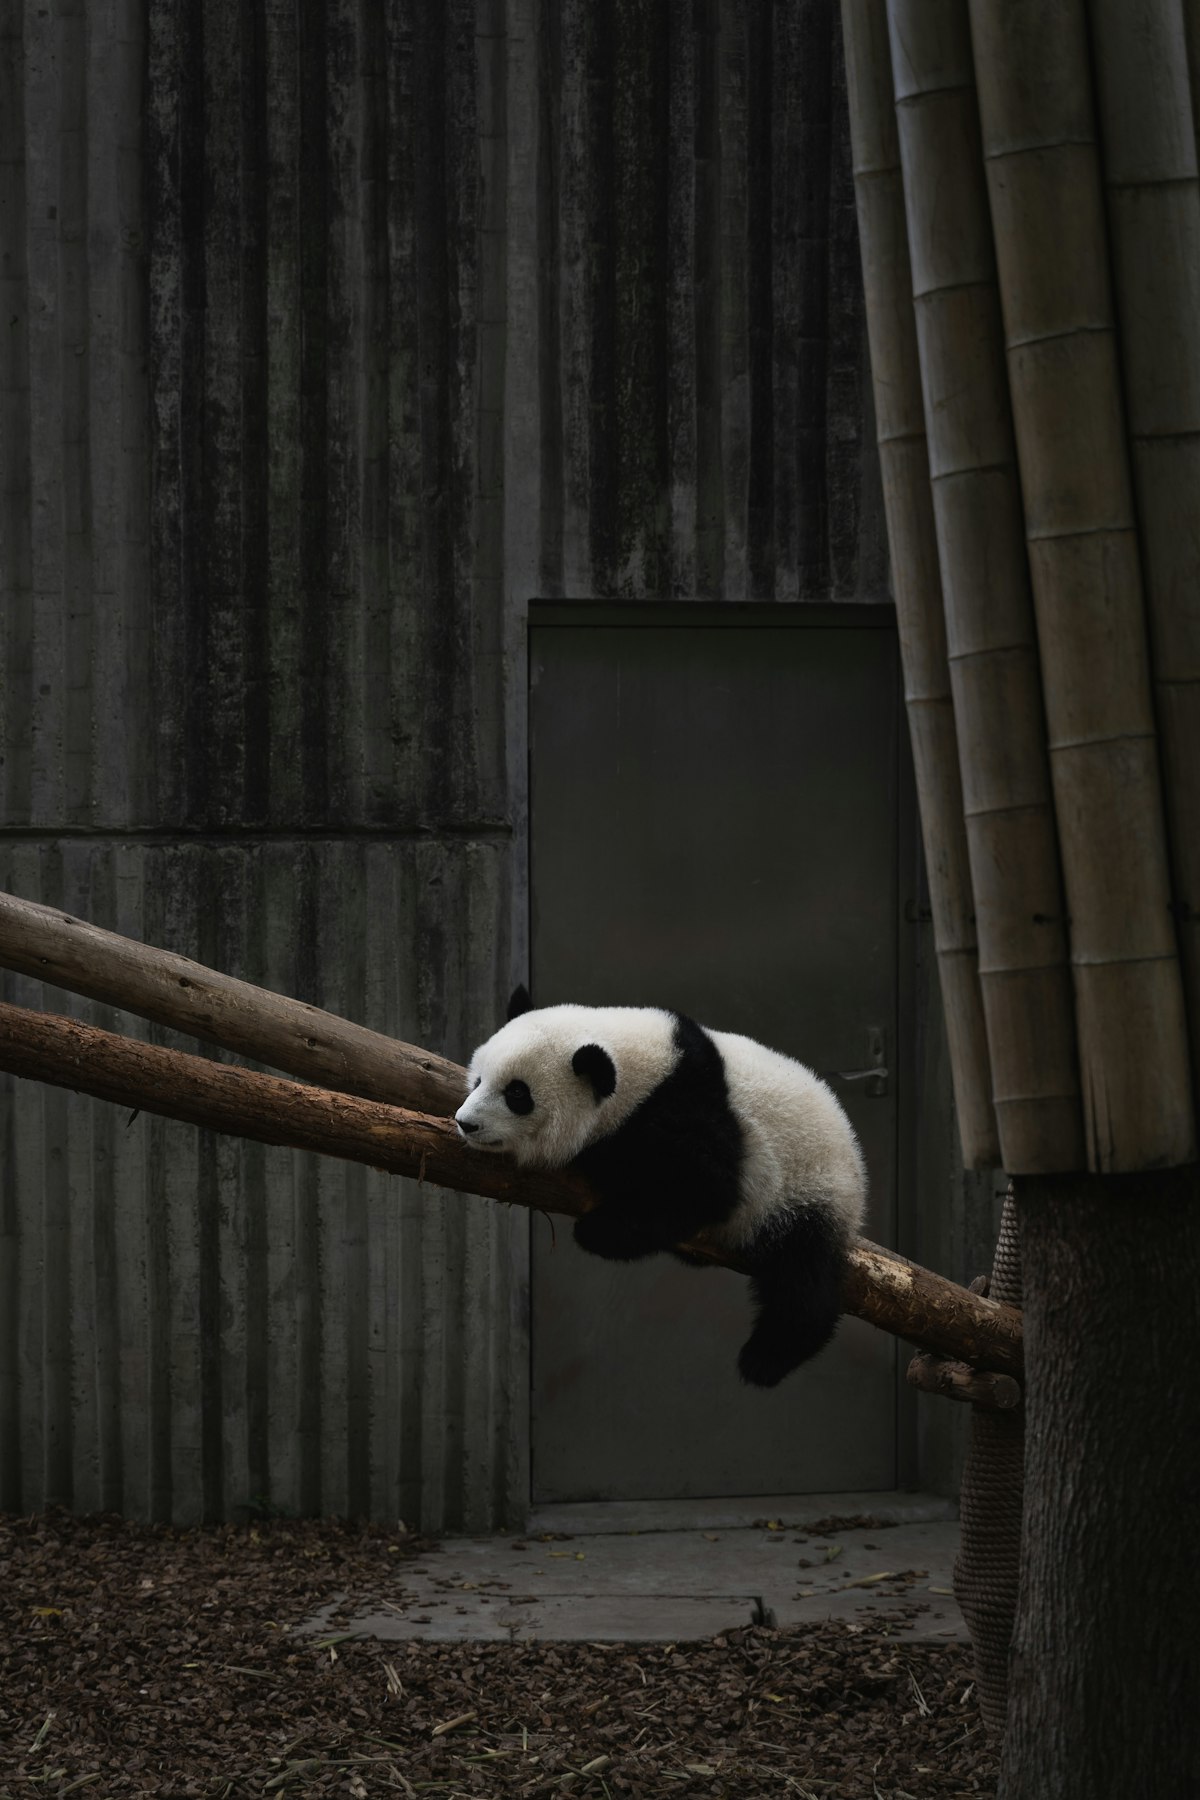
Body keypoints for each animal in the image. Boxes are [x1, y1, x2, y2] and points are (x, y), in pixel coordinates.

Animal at [454, 987, 866, 1387]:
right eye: (478, 1080)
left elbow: (703, 1189)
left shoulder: (686, 1111)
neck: (646, 1070)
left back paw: (767, 1357)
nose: (465, 1123)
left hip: (806, 1190)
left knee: (801, 1279)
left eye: (517, 1094)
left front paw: (598, 1225)